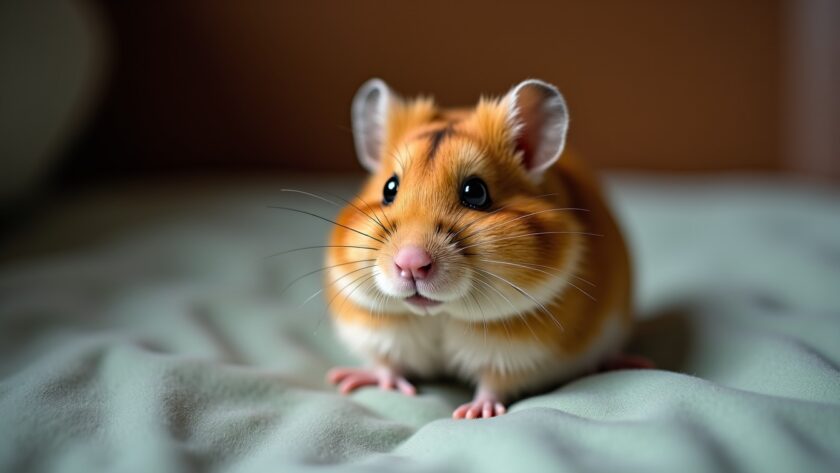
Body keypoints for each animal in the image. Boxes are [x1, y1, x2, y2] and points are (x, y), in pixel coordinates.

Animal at [325, 78, 650, 419]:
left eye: (475, 192)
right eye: (389, 188)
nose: (411, 264)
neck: (440, 314)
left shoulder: (516, 353)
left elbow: (493, 383)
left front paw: (471, 413)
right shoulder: (377, 333)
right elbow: (386, 363)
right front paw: (353, 381)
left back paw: (628, 362)